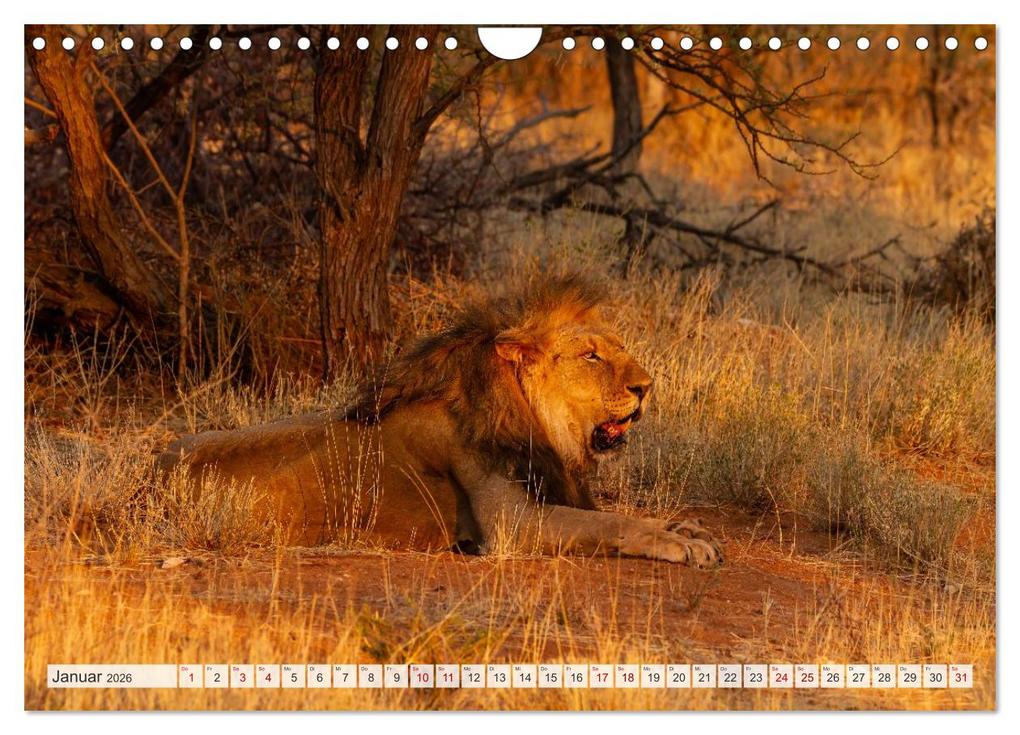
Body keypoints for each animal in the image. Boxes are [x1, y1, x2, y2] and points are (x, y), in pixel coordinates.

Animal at [157, 276, 722, 566]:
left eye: (618, 348)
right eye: (590, 355)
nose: (646, 386)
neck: (536, 420)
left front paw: (686, 526)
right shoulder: (512, 525)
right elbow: (610, 521)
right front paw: (682, 544)